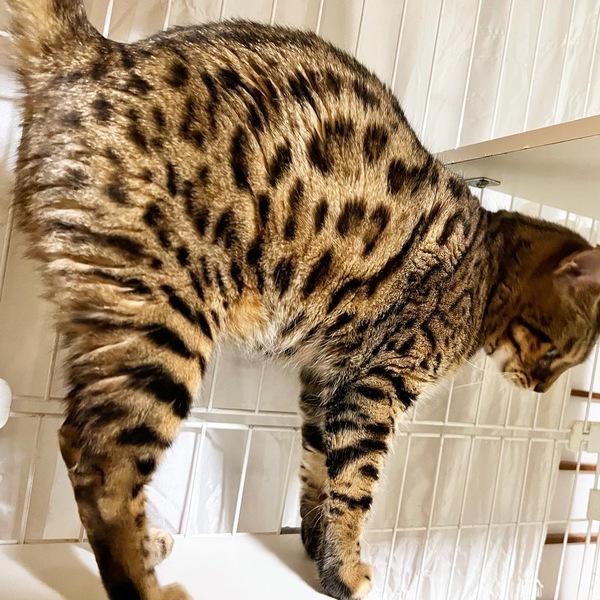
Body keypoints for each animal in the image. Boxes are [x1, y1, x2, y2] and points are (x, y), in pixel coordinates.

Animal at [6, 1, 600, 599]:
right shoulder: (377, 383)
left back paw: (149, 544)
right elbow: (356, 484)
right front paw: (347, 568)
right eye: (557, 355)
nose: (540, 387)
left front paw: (319, 550)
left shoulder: (326, 380)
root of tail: (100, 53)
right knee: (103, 463)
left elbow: (319, 471)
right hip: (166, 318)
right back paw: (148, 585)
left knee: (77, 438)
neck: (481, 266)